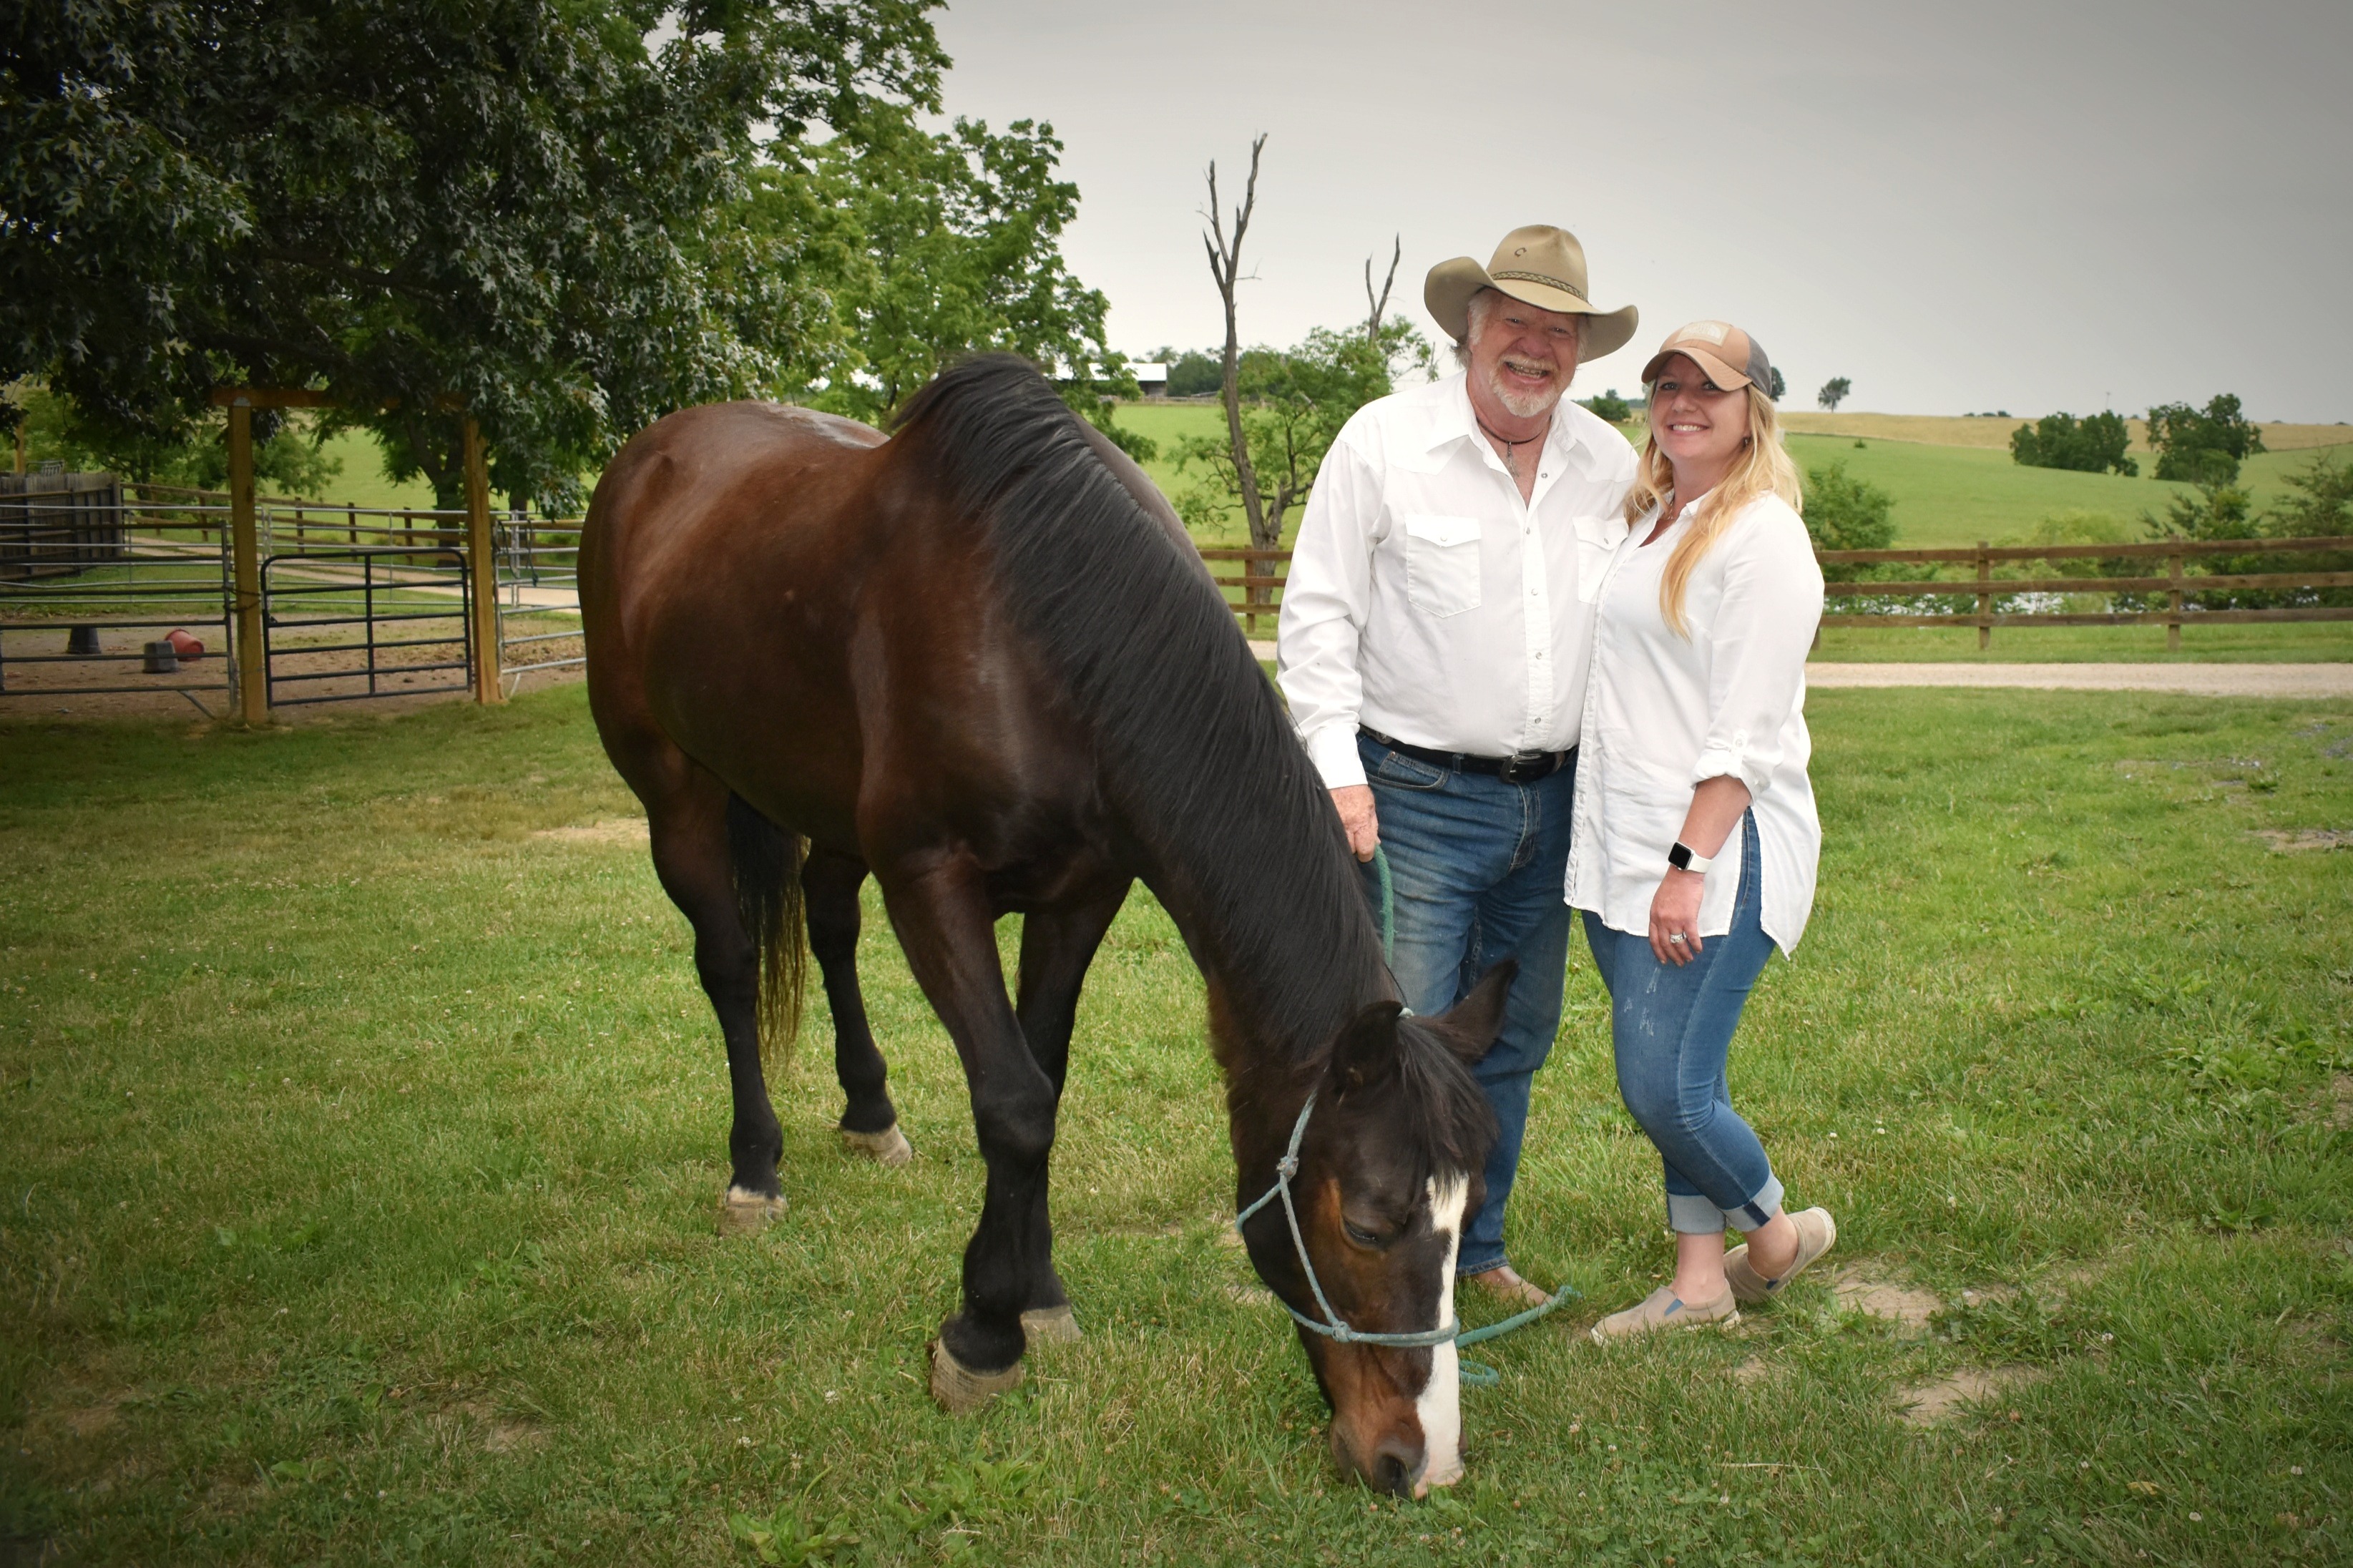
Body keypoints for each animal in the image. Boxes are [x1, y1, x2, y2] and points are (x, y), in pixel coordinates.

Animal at [578, 355, 1513, 1496]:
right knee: (725, 962)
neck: (1039, 626)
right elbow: (1015, 1105)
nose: (1421, 1461)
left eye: (1470, 1213)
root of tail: (650, 455)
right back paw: (755, 1169)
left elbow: (1045, 1080)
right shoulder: (931, 881)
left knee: (830, 925)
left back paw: (869, 1111)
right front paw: (981, 1335)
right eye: (1371, 1221)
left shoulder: (1082, 893)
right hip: (674, 788)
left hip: (823, 809)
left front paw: (1038, 1291)